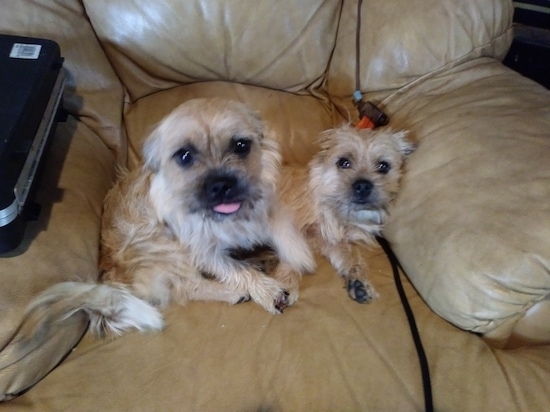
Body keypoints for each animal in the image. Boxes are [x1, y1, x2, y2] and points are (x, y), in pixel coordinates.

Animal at [18, 99, 314, 338]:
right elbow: (233, 271)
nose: (222, 185)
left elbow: (281, 228)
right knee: (188, 286)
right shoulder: (201, 250)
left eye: (241, 145)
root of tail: (113, 275)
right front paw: (267, 291)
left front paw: (293, 253)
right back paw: (234, 289)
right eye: (184, 155)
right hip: (165, 245)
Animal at [280, 125, 414, 302]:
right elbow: (291, 255)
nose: (363, 186)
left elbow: (352, 254)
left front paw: (359, 280)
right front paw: (284, 286)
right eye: (344, 162)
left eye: (383, 166)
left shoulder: (330, 239)